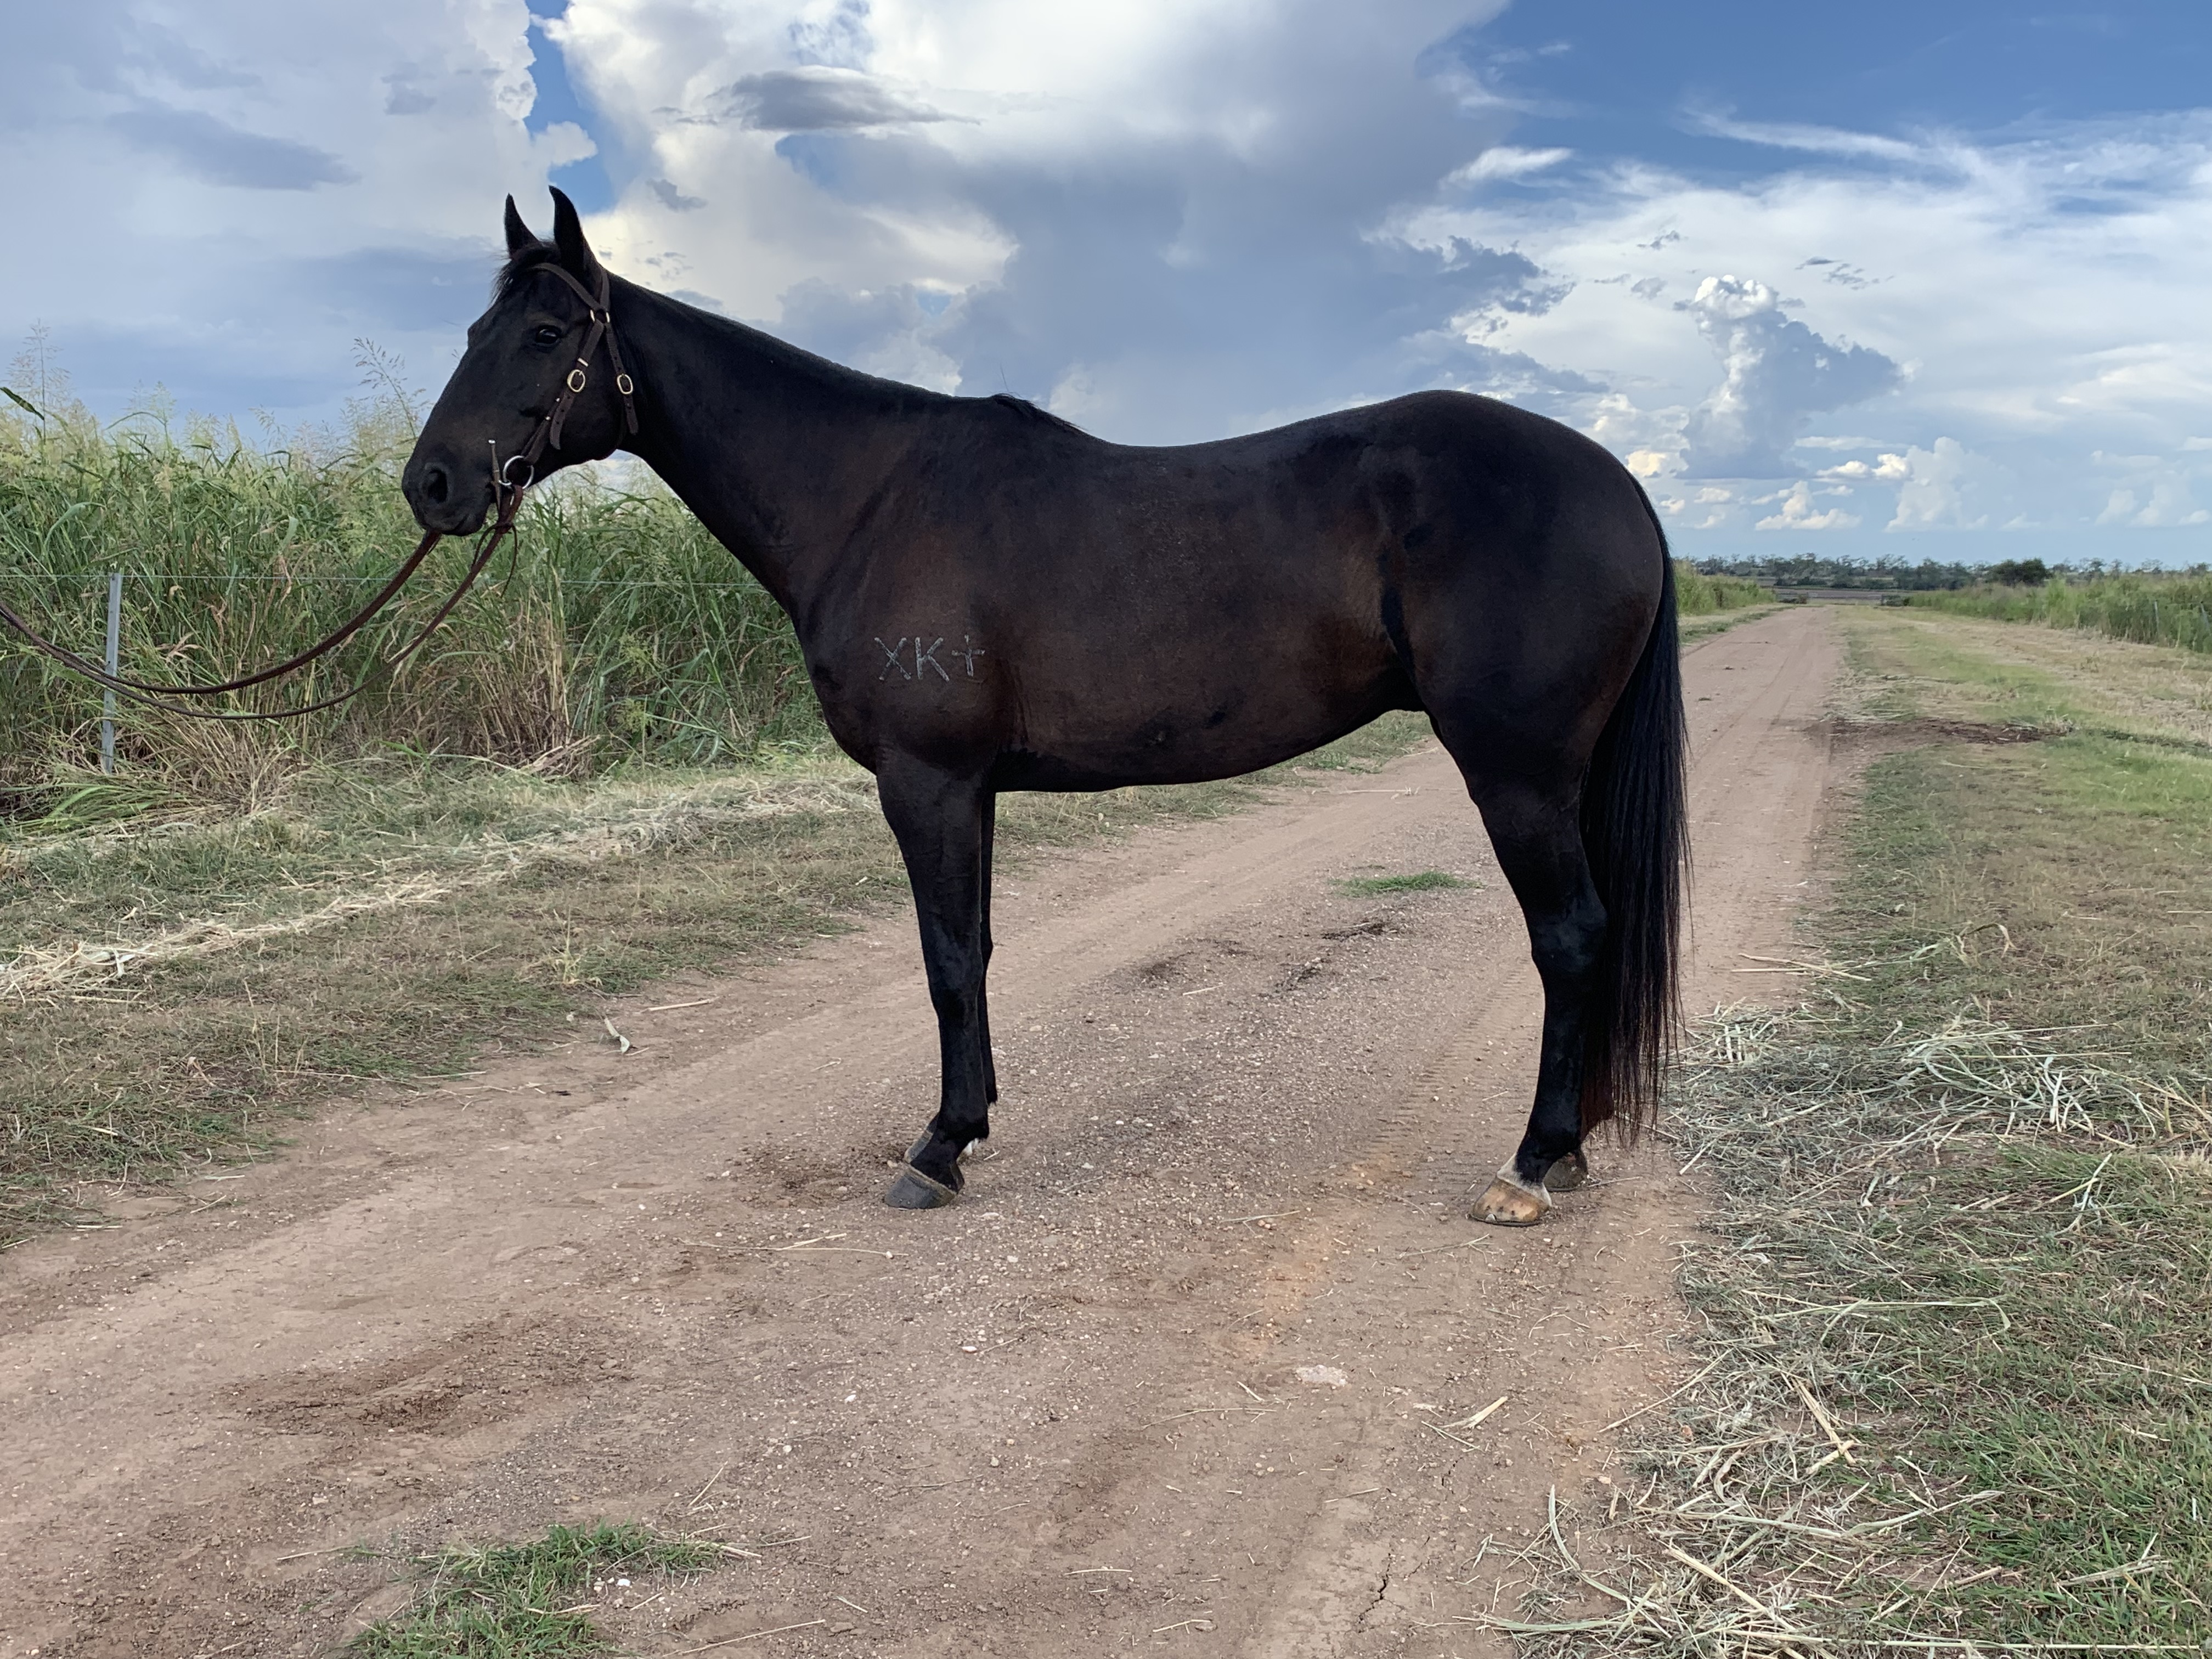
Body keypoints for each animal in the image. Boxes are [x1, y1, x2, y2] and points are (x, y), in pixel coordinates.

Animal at [402, 189, 1686, 1226]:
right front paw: (965, 1127)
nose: (432, 484)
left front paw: (937, 1149)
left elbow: (944, 958)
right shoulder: (966, 787)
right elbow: (970, 951)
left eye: (546, 333)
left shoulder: (926, 780)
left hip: (1516, 771)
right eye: (473, 332)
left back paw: (1532, 1165)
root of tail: (1620, 486)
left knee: (1572, 937)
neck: (868, 498)